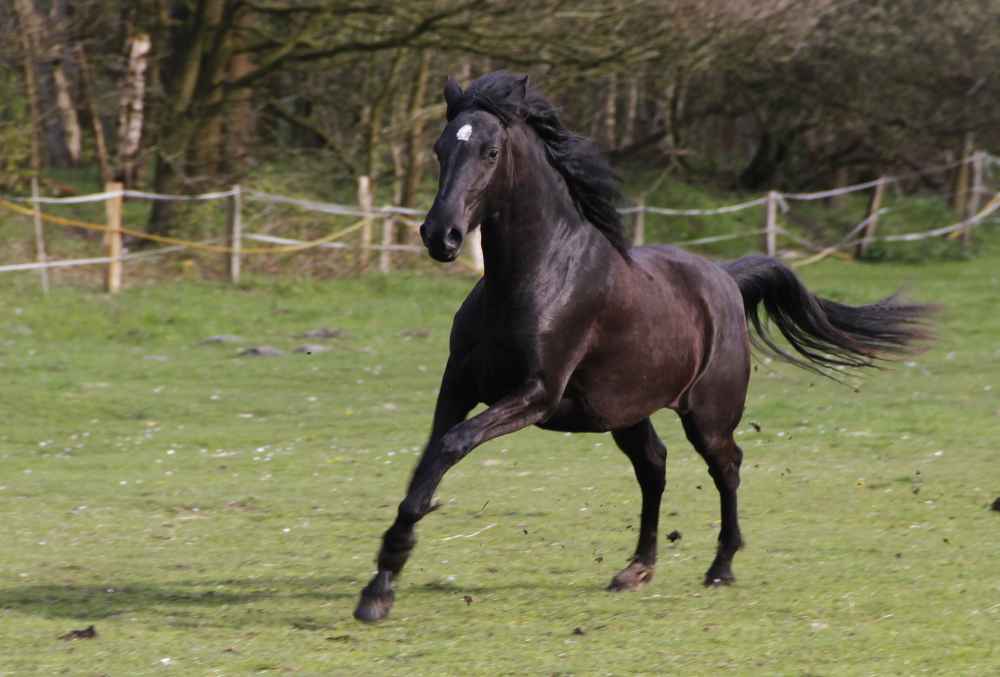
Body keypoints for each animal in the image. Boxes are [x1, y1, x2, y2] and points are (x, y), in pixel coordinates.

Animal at [354, 71, 933, 622]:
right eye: (439, 148)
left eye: (490, 152)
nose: (440, 236)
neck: (535, 276)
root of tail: (725, 277)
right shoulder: (459, 385)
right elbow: (430, 458)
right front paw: (379, 586)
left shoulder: (534, 395)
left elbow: (451, 446)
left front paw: (385, 577)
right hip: (625, 412)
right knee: (654, 467)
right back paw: (637, 568)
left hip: (707, 416)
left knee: (727, 466)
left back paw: (721, 567)